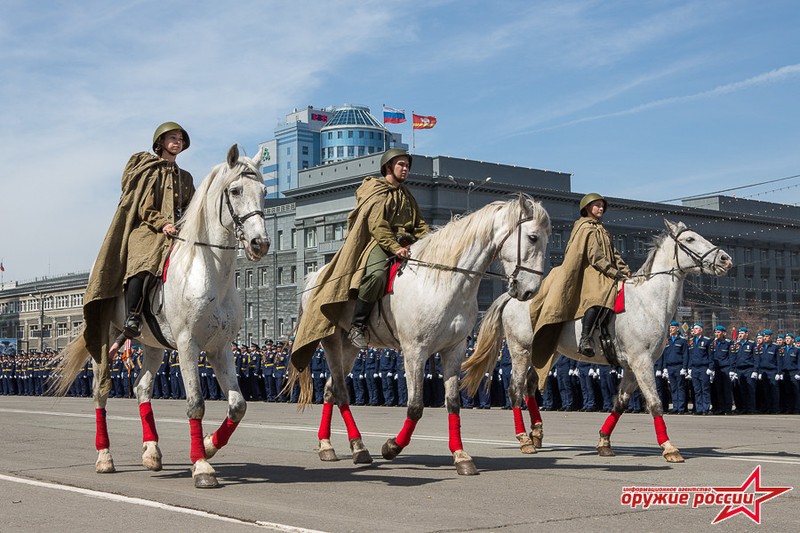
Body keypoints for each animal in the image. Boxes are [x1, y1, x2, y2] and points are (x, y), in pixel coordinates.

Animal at [50, 144, 268, 486]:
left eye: (264, 191)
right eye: (235, 190)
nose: (260, 243)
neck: (208, 272)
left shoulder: (221, 348)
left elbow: (238, 406)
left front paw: (208, 444)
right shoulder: (188, 345)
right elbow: (195, 403)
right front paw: (201, 465)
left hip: (151, 345)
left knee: (141, 388)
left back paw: (152, 452)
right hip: (105, 338)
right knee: (100, 392)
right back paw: (104, 457)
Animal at [292, 194, 552, 474]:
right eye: (533, 237)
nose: (529, 291)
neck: (442, 279)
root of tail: (314, 276)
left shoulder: (454, 349)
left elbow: (453, 403)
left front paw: (461, 455)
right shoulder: (414, 351)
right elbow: (416, 406)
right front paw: (392, 447)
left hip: (350, 347)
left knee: (330, 389)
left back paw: (331, 445)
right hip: (331, 342)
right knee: (340, 390)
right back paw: (355, 447)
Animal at [462, 220, 732, 462]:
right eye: (690, 239)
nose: (725, 259)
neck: (648, 302)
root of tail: (513, 296)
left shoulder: (633, 366)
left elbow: (620, 403)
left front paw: (604, 441)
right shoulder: (641, 362)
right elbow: (655, 403)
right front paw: (669, 447)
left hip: (547, 352)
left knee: (529, 386)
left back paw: (537, 433)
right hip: (521, 351)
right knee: (515, 389)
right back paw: (524, 440)